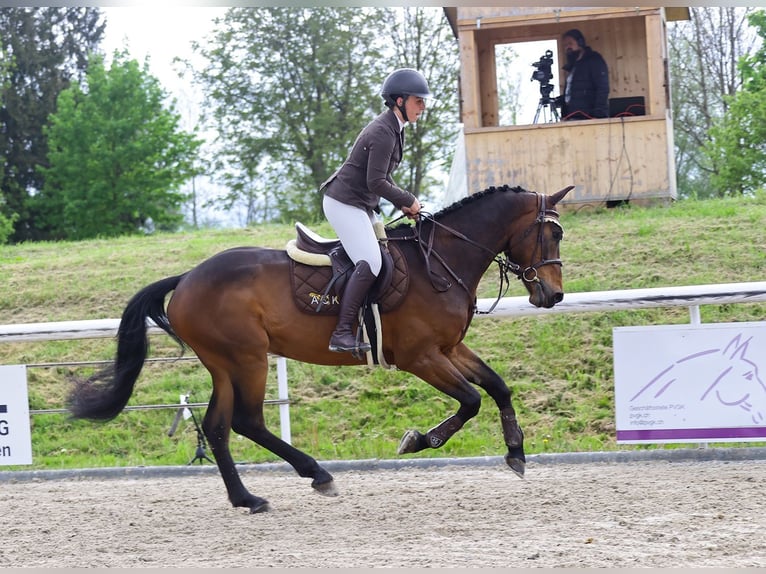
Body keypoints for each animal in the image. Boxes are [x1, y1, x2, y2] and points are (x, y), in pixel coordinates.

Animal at [69, 183, 572, 512]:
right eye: (553, 234)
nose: (553, 295)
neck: (440, 262)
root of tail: (187, 277)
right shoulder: (420, 357)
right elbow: (470, 401)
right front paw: (418, 440)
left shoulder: (449, 349)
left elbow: (498, 387)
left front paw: (516, 454)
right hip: (247, 359)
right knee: (247, 421)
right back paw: (317, 474)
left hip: (225, 364)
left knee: (217, 426)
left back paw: (246, 498)